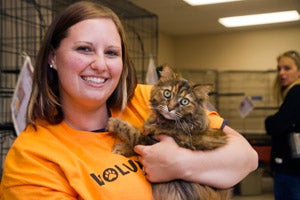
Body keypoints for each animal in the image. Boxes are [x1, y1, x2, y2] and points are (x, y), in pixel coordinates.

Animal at [106, 65, 231, 200]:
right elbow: (137, 140)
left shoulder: (154, 141)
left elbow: (135, 134)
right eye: (167, 93)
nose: (170, 108)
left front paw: (114, 124)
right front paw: (122, 148)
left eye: (185, 101)